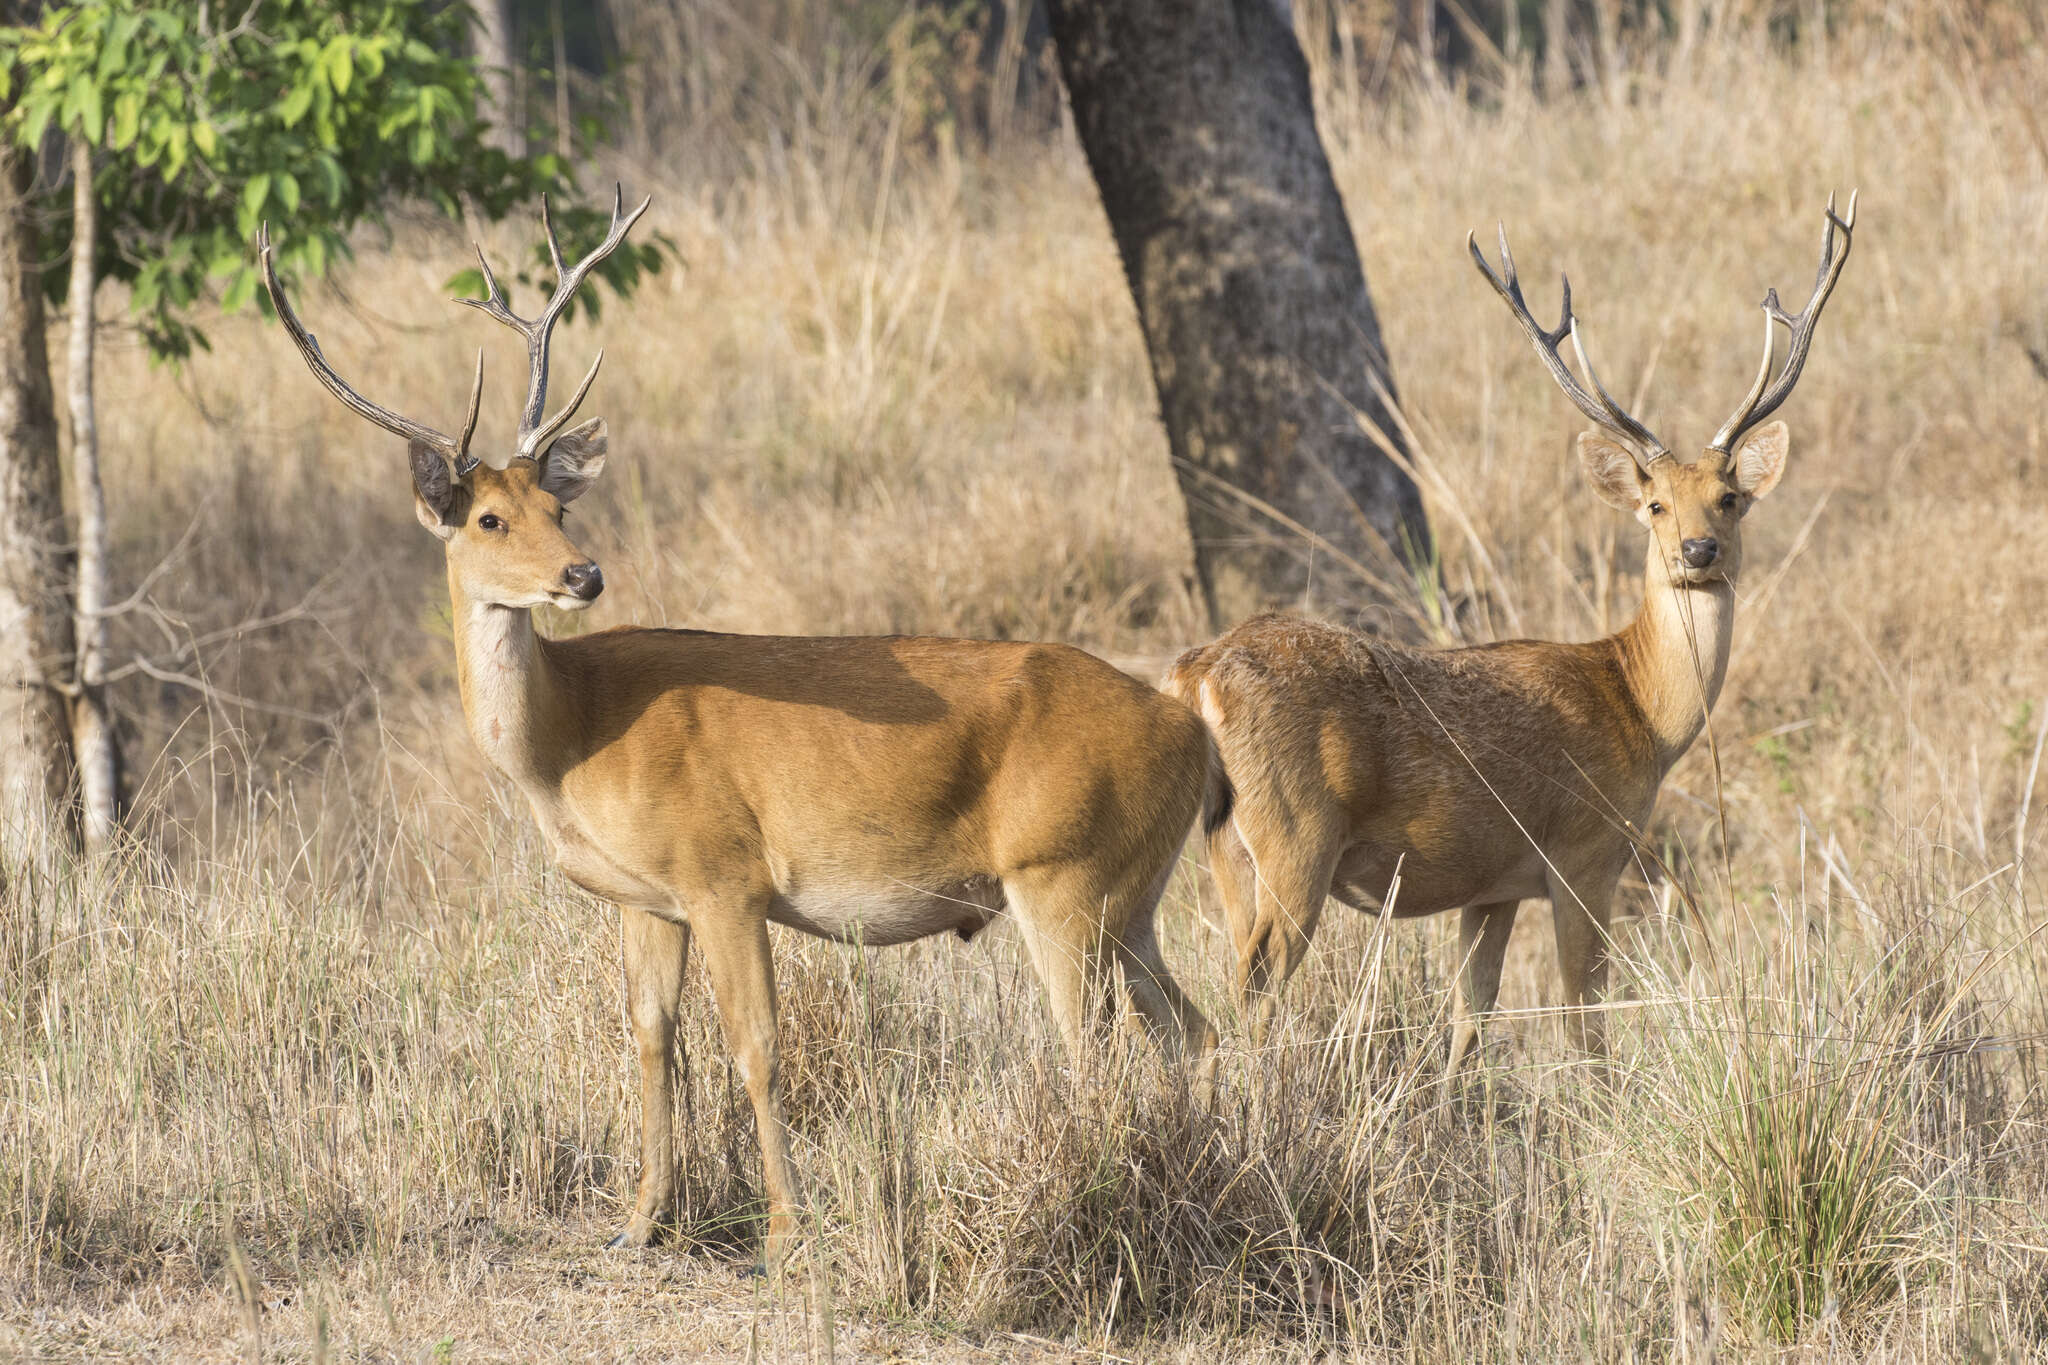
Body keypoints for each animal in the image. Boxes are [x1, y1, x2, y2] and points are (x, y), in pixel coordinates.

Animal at [253, 189, 1212, 1268]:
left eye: (554, 504)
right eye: (490, 518)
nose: (584, 573)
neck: (572, 739)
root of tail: (1188, 723)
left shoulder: (726, 874)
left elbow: (755, 1046)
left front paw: (786, 1230)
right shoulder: (648, 899)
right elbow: (650, 1038)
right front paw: (639, 1220)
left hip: (1061, 875)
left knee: (1094, 1043)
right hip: (1130, 895)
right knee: (1193, 1028)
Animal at [1171, 192, 1859, 1080]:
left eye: (1730, 496)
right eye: (1655, 504)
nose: (1698, 551)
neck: (1639, 708)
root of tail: (1196, 675)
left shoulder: (1492, 885)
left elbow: (1470, 1019)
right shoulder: (1585, 853)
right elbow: (1583, 1021)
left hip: (1227, 845)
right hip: (1294, 834)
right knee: (1253, 986)